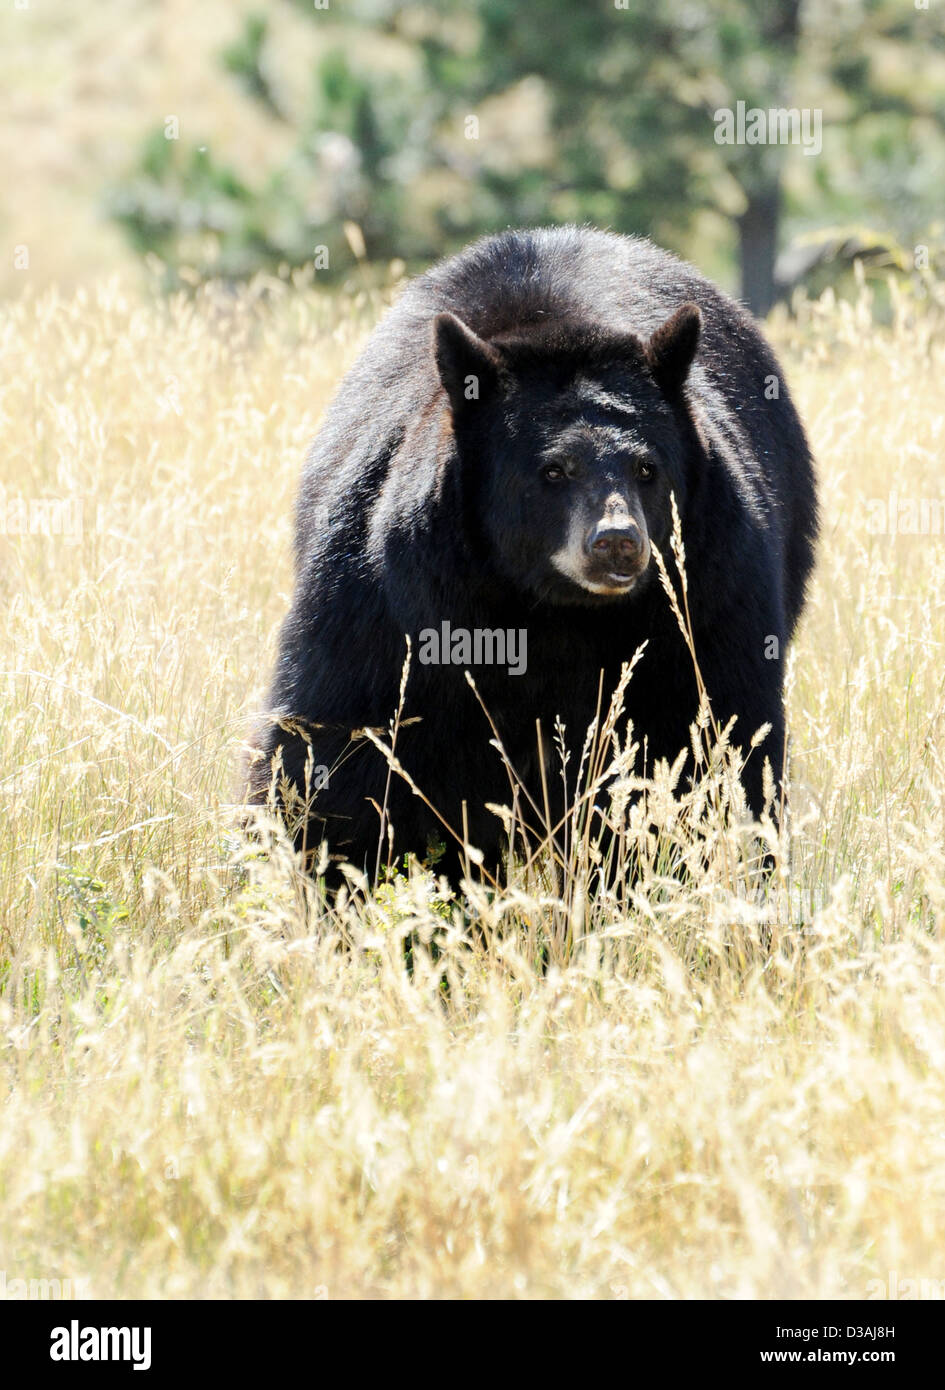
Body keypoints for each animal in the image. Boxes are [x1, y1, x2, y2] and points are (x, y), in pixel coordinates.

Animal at [247, 225, 817, 878]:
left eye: (647, 468)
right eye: (553, 471)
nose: (618, 542)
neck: (552, 612)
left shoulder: (709, 587)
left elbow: (714, 738)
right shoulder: (390, 596)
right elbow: (340, 743)